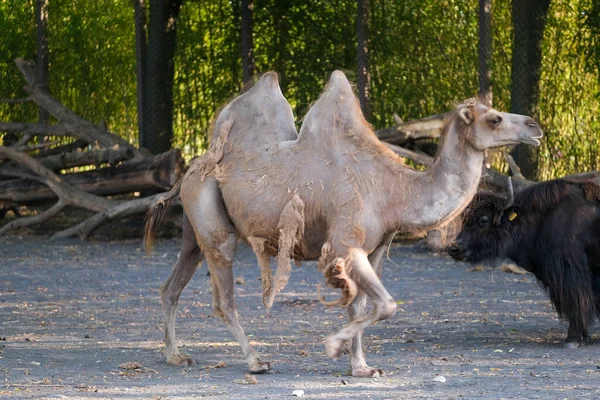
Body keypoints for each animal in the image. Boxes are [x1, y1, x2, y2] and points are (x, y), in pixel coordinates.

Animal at [146, 71, 544, 378]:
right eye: (494, 119)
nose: (535, 126)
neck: (395, 191)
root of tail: (189, 171)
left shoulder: (377, 247)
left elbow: (363, 306)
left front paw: (362, 367)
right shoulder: (344, 244)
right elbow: (385, 305)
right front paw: (334, 346)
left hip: (193, 230)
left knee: (172, 286)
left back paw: (175, 355)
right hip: (214, 225)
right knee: (223, 297)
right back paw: (256, 361)